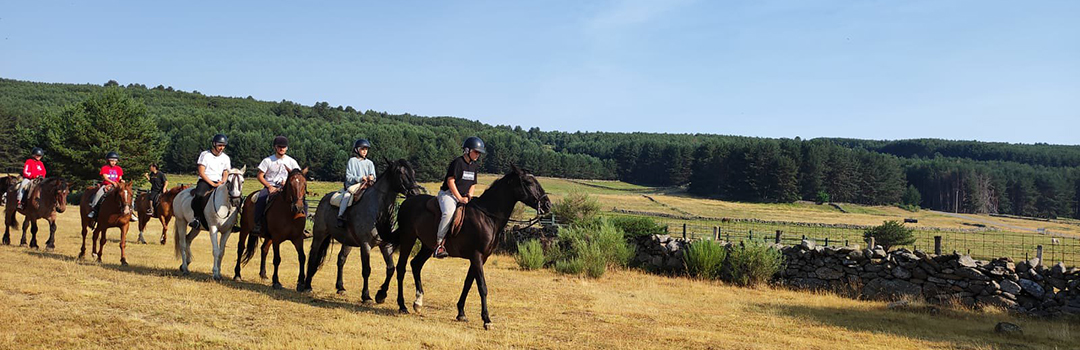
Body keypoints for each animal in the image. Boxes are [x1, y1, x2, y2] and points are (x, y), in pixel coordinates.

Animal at [304, 158, 425, 302]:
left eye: (413, 172)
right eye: (399, 172)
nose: (415, 193)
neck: (378, 212)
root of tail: (324, 198)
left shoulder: (385, 245)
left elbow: (391, 268)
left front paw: (381, 295)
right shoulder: (365, 245)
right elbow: (367, 270)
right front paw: (366, 296)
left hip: (347, 241)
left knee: (341, 259)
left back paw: (340, 287)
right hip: (319, 235)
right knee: (313, 255)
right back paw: (307, 286)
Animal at [388, 164, 552, 328]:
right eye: (528, 182)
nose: (547, 205)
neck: (487, 217)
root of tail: (407, 201)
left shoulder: (481, 258)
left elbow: (468, 283)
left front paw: (461, 313)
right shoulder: (477, 255)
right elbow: (482, 287)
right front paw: (487, 320)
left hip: (428, 246)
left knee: (416, 265)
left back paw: (418, 302)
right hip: (408, 238)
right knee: (401, 268)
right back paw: (402, 305)